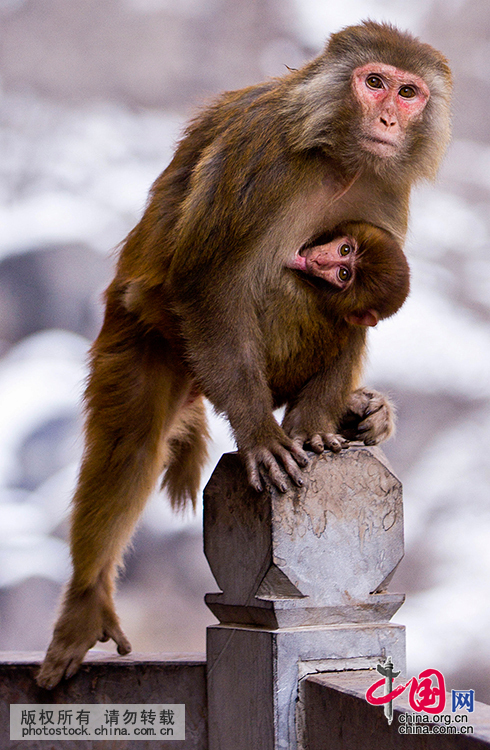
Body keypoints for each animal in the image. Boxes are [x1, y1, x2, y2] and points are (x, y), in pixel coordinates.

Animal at [37, 20, 452, 692]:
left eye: (409, 91)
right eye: (375, 82)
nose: (389, 117)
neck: (338, 159)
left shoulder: (385, 190)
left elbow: (364, 305)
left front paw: (317, 431)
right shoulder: (261, 156)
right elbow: (210, 282)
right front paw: (261, 435)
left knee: (343, 317)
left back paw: (354, 414)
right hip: (151, 335)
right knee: (130, 444)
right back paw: (84, 602)